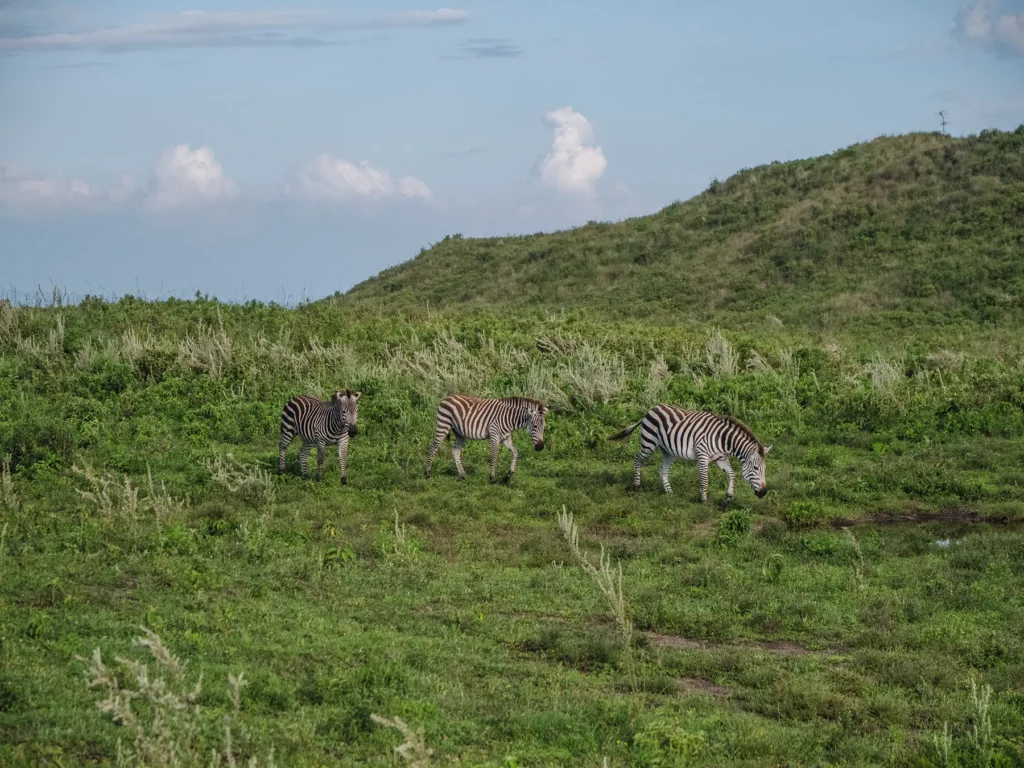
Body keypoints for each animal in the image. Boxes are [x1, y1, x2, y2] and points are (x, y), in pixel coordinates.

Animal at [608, 405, 771, 504]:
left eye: (764, 469)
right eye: (756, 469)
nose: (764, 493)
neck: (722, 439)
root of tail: (651, 409)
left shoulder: (720, 458)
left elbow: (732, 474)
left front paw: (727, 498)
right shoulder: (702, 456)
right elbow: (704, 479)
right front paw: (703, 500)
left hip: (668, 451)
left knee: (662, 471)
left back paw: (670, 493)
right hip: (649, 443)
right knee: (637, 460)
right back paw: (636, 486)